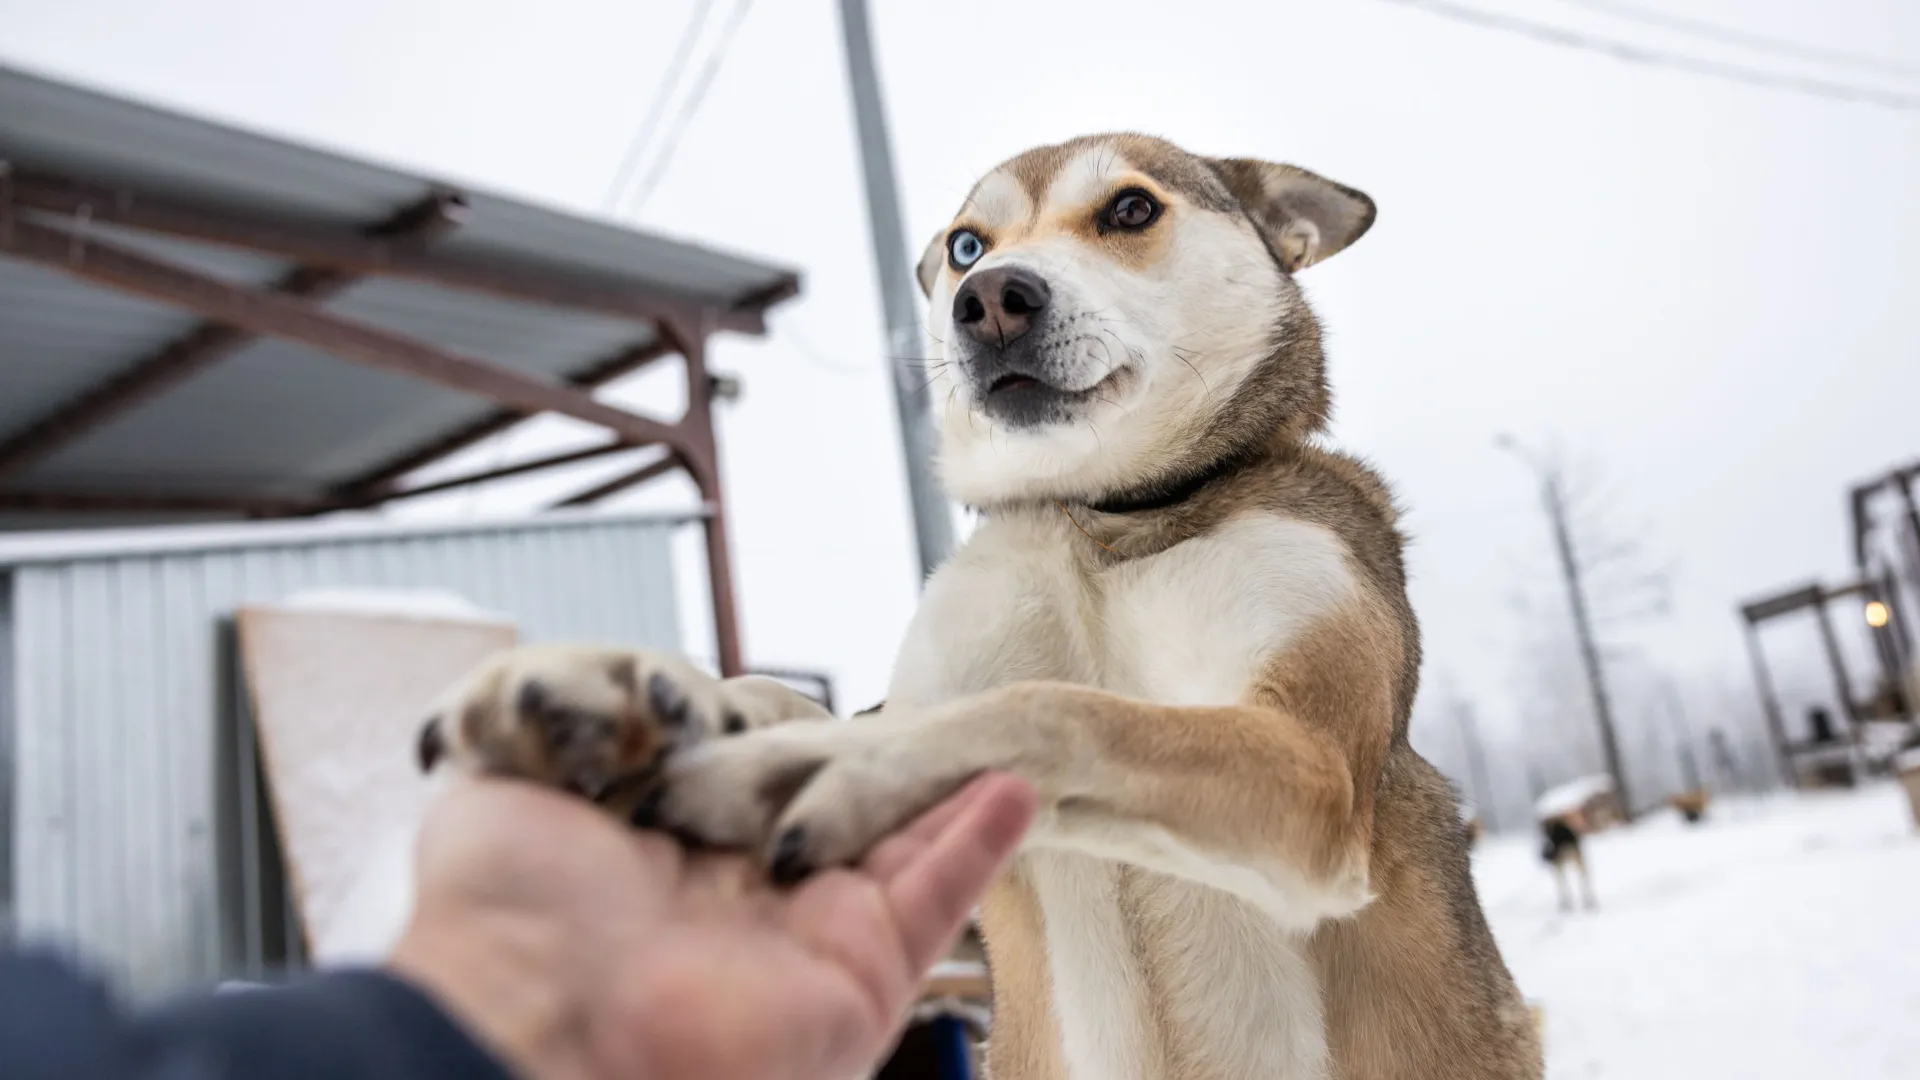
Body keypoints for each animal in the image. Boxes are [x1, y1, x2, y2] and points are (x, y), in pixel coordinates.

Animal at [420, 134, 1543, 1076]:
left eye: (1130, 209)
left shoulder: (1310, 771)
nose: (993, 297)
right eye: (966, 245)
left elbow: (1054, 708)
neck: (1101, 519)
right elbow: (809, 696)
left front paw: (812, 772)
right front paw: (627, 692)